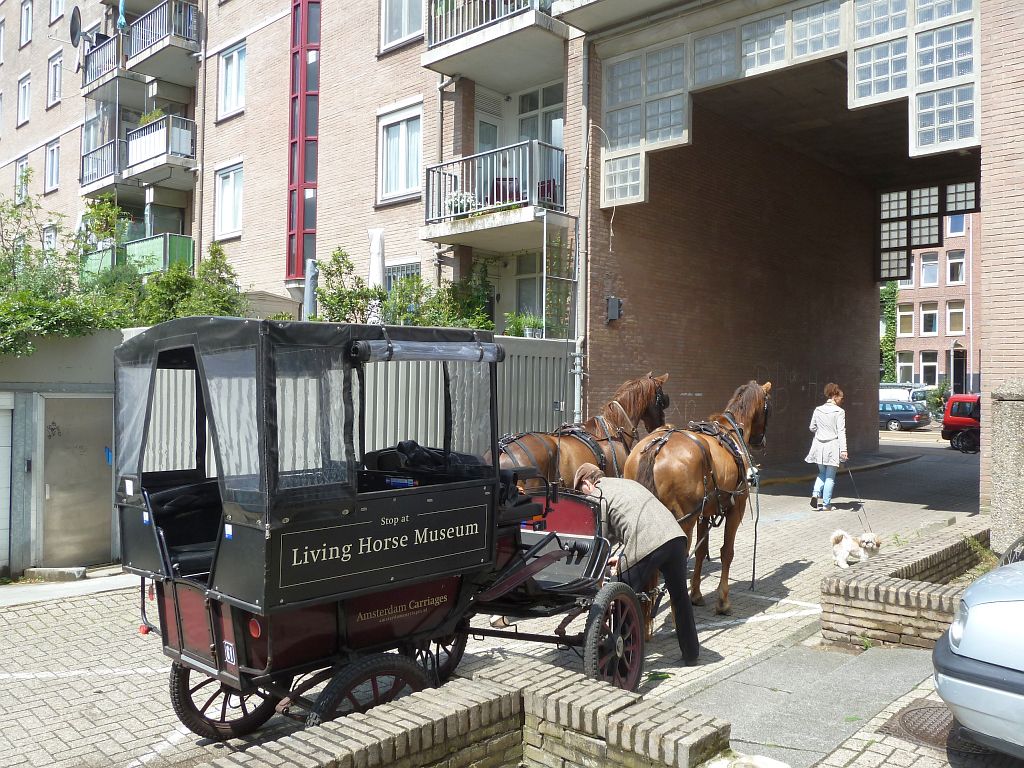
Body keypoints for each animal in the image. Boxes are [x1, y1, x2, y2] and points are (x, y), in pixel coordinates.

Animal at [618, 382, 770, 618]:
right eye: (767, 408)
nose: (760, 440)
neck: (731, 431)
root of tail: (656, 446)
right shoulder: (737, 507)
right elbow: (727, 552)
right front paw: (723, 601)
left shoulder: (704, 513)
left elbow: (700, 552)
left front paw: (696, 594)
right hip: (683, 523)